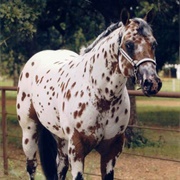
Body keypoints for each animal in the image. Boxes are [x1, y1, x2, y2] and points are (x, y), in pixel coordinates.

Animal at [15, 10, 162, 179]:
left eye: (154, 44)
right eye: (129, 44)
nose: (152, 83)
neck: (101, 95)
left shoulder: (111, 151)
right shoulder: (77, 149)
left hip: (60, 138)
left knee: (61, 167)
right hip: (29, 131)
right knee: (31, 166)